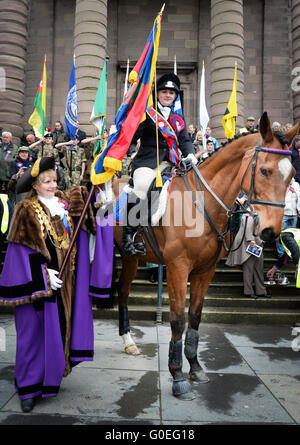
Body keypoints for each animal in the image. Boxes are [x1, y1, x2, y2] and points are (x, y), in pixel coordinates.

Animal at [113, 112, 300, 398]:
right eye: (264, 170)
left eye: (291, 174)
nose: (270, 231)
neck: (202, 204)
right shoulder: (178, 268)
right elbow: (178, 321)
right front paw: (177, 376)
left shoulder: (205, 270)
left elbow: (195, 317)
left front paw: (195, 368)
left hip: (131, 258)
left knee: (122, 292)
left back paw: (129, 341)